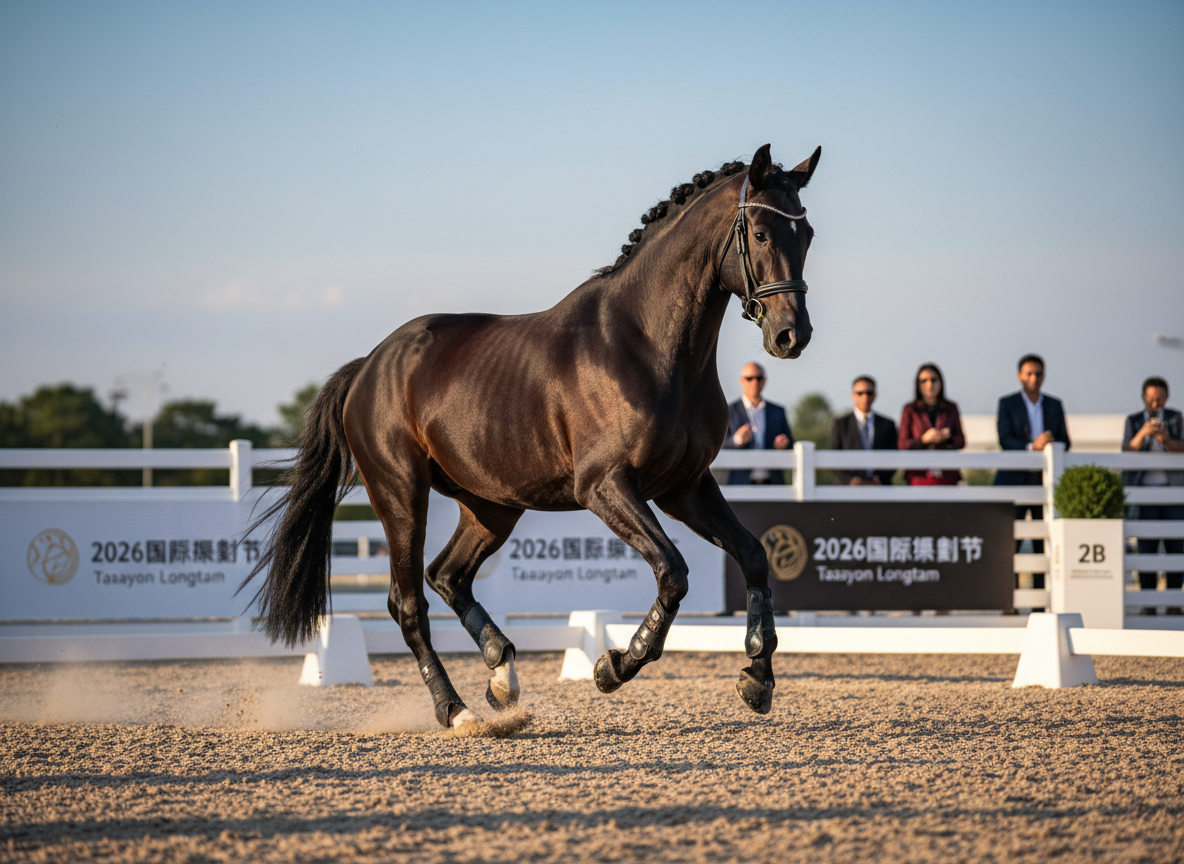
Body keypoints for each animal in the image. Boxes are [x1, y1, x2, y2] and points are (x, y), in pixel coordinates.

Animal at [243, 143, 820, 728]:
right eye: (761, 233)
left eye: (808, 234)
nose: (791, 336)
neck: (652, 347)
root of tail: (370, 366)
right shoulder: (605, 486)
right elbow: (673, 572)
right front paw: (614, 666)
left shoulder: (685, 487)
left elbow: (753, 555)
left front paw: (758, 678)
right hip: (401, 497)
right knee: (408, 604)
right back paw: (456, 711)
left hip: (491, 506)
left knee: (447, 576)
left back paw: (502, 673)